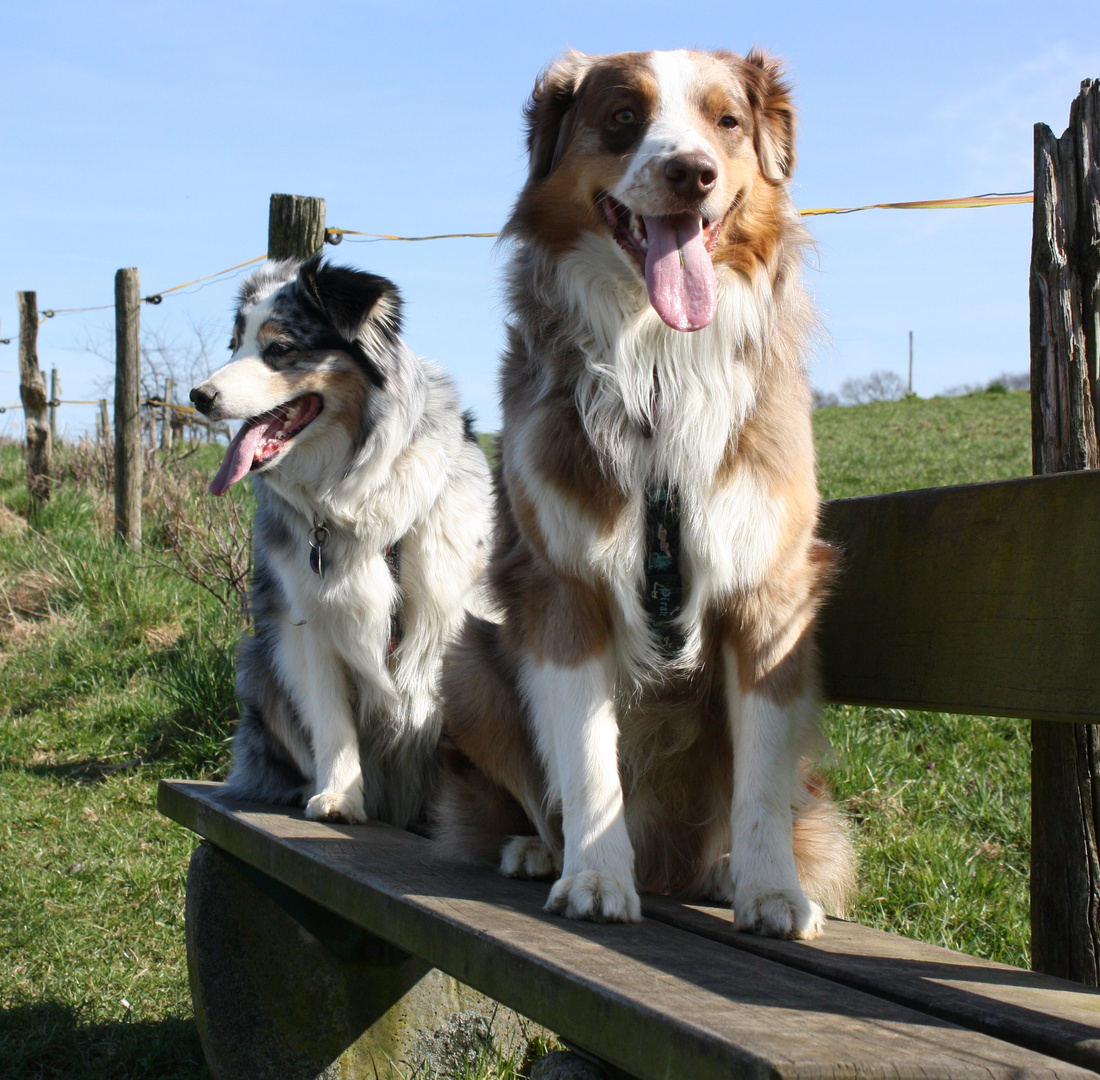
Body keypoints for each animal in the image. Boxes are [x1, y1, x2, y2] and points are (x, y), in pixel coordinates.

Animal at [433, 46, 853, 932]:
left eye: (727, 121)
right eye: (624, 119)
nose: (691, 173)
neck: (659, 360)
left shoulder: (772, 597)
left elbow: (761, 779)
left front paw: (771, 890)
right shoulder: (563, 587)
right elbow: (588, 760)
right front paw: (594, 877)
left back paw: (722, 873)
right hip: (468, 665)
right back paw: (538, 851)